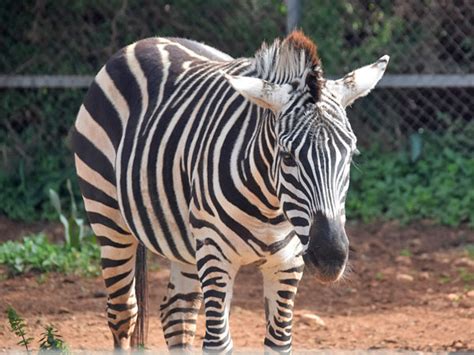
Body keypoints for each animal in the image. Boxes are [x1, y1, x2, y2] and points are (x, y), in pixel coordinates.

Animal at [71, 31, 388, 354]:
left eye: (351, 154)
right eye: (287, 157)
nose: (331, 257)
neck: (270, 210)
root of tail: (147, 41)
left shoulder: (287, 263)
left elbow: (279, 342)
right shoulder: (215, 256)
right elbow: (218, 343)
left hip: (186, 243)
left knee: (177, 312)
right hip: (108, 217)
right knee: (123, 312)